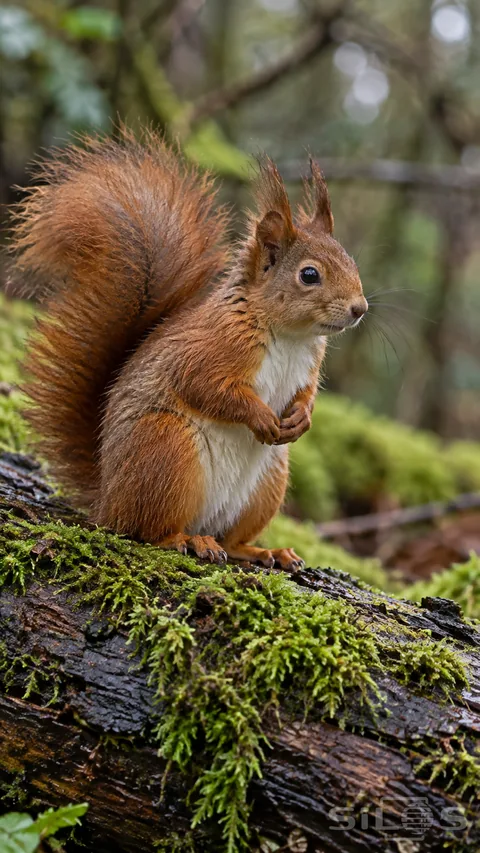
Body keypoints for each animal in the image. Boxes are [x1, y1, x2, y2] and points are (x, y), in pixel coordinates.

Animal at [11, 127, 367, 570]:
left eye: (352, 263)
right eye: (309, 275)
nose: (360, 308)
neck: (289, 336)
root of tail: (106, 499)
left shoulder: (308, 364)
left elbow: (305, 394)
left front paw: (301, 419)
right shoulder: (210, 349)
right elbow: (205, 387)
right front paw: (261, 417)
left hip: (268, 481)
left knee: (231, 539)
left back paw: (264, 550)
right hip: (167, 449)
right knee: (144, 530)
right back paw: (186, 540)